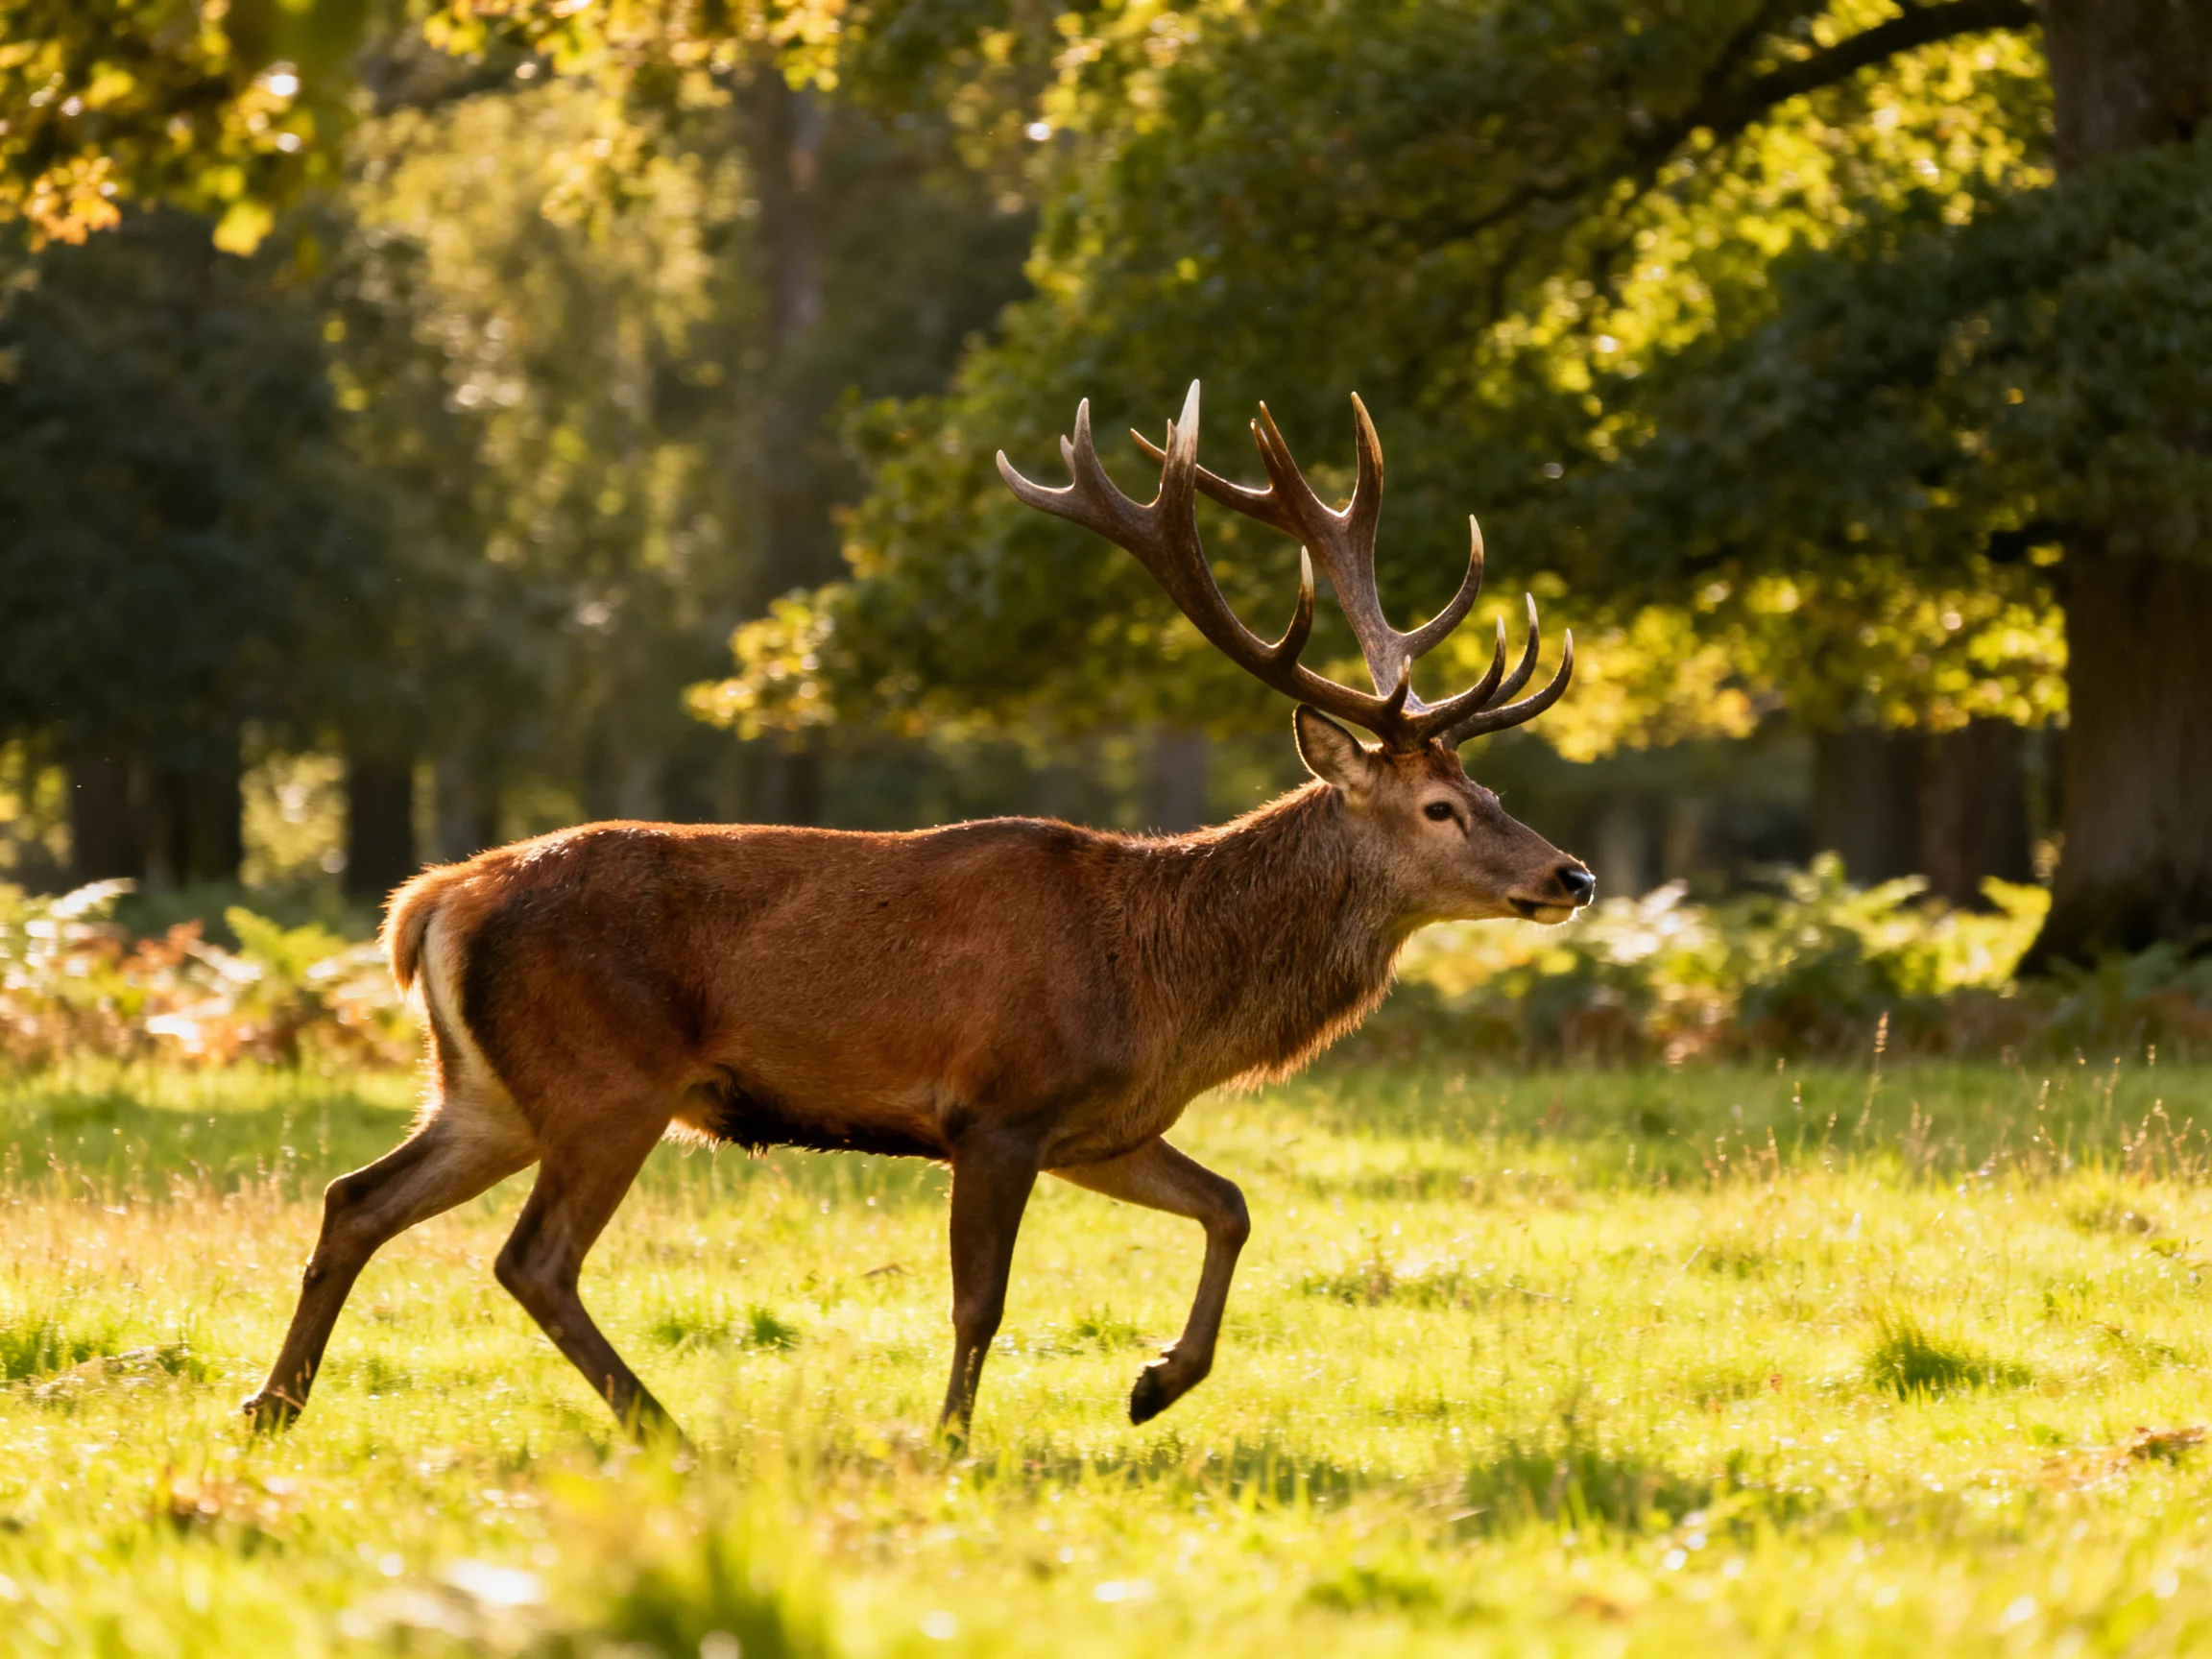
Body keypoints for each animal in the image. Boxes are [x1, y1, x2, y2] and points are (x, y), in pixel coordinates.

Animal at [242, 381, 1594, 1445]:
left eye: (1491, 790)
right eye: (1439, 806)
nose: (1571, 876)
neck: (1164, 987)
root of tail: (432, 901)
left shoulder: (1101, 1129)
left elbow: (1231, 1204)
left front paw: (1154, 1384)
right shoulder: (996, 1108)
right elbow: (980, 1298)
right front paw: (947, 1438)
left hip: (486, 1089)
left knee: (357, 1198)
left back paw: (274, 1403)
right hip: (602, 1081)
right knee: (532, 1259)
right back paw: (661, 1424)